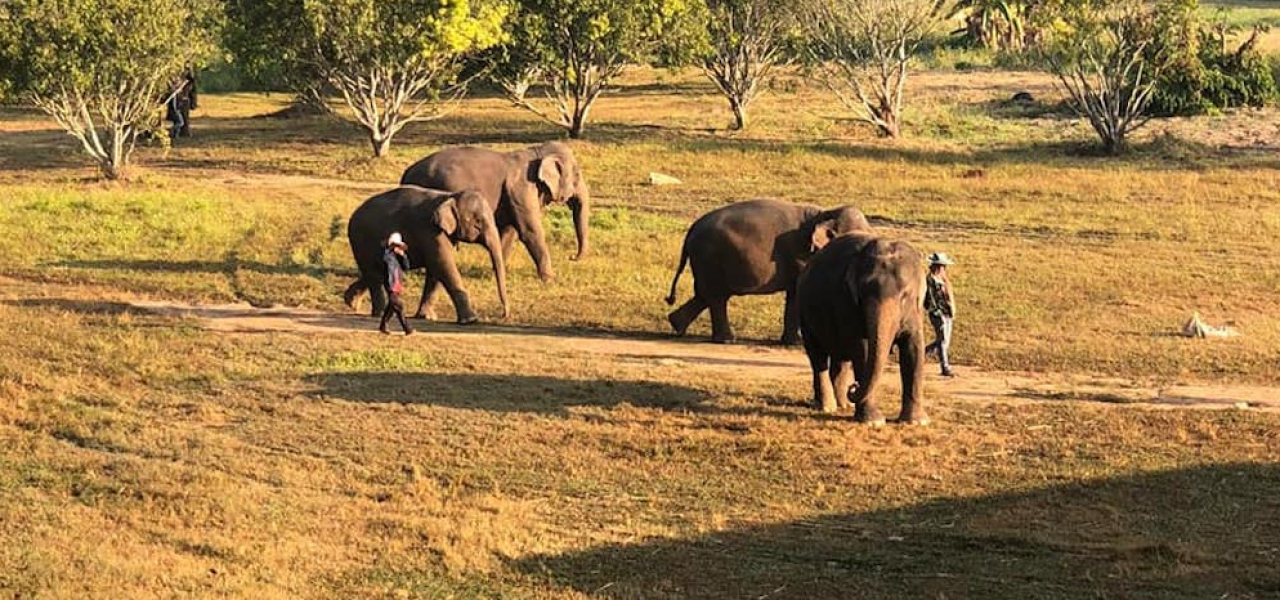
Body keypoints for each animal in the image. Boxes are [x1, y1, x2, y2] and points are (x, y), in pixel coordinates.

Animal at [348, 186, 512, 324]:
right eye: (478, 221)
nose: (504, 315)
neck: (450, 196)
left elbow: (436, 270)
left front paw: (426, 317)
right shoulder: (430, 232)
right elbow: (443, 264)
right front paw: (470, 320)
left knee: (378, 272)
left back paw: (351, 302)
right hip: (360, 240)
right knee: (373, 274)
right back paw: (379, 312)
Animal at [396, 142, 591, 318]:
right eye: (578, 174)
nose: (572, 257)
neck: (536, 151)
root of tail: (406, 173)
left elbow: (510, 232)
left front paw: (492, 272)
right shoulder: (522, 190)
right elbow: (529, 230)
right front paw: (550, 280)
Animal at [670, 198, 870, 342]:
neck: (825, 213)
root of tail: (691, 229)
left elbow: (794, 293)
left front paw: (792, 342)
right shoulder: (802, 255)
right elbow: (799, 292)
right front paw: (797, 343)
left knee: (706, 295)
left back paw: (677, 325)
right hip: (710, 258)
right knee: (716, 297)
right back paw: (726, 340)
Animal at [793, 231, 926, 422]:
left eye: (905, 296)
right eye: (863, 294)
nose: (854, 386)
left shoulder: (916, 312)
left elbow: (914, 349)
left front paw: (916, 421)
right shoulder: (847, 302)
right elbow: (862, 349)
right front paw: (874, 421)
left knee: (840, 359)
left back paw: (843, 404)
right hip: (804, 313)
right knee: (817, 356)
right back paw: (827, 407)